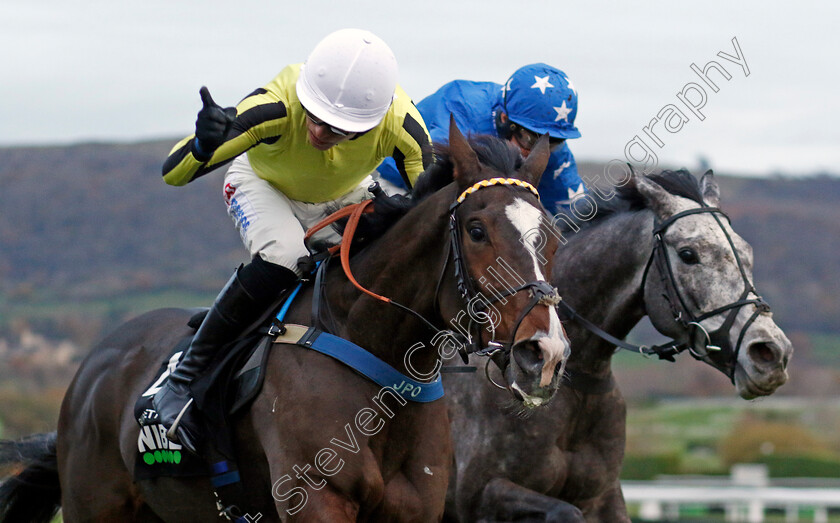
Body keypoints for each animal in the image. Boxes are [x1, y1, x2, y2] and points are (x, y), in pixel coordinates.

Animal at [0, 121, 572, 520]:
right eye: (476, 230)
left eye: (552, 235)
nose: (543, 353)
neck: (378, 361)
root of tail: (94, 366)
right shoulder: (317, 500)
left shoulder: (415, 509)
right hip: (95, 505)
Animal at [442, 170, 792, 520]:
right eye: (689, 255)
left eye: (746, 254)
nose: (771, 353)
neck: (576, 384)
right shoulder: (480, 494)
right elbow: (565, 511)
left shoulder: (604, 496)